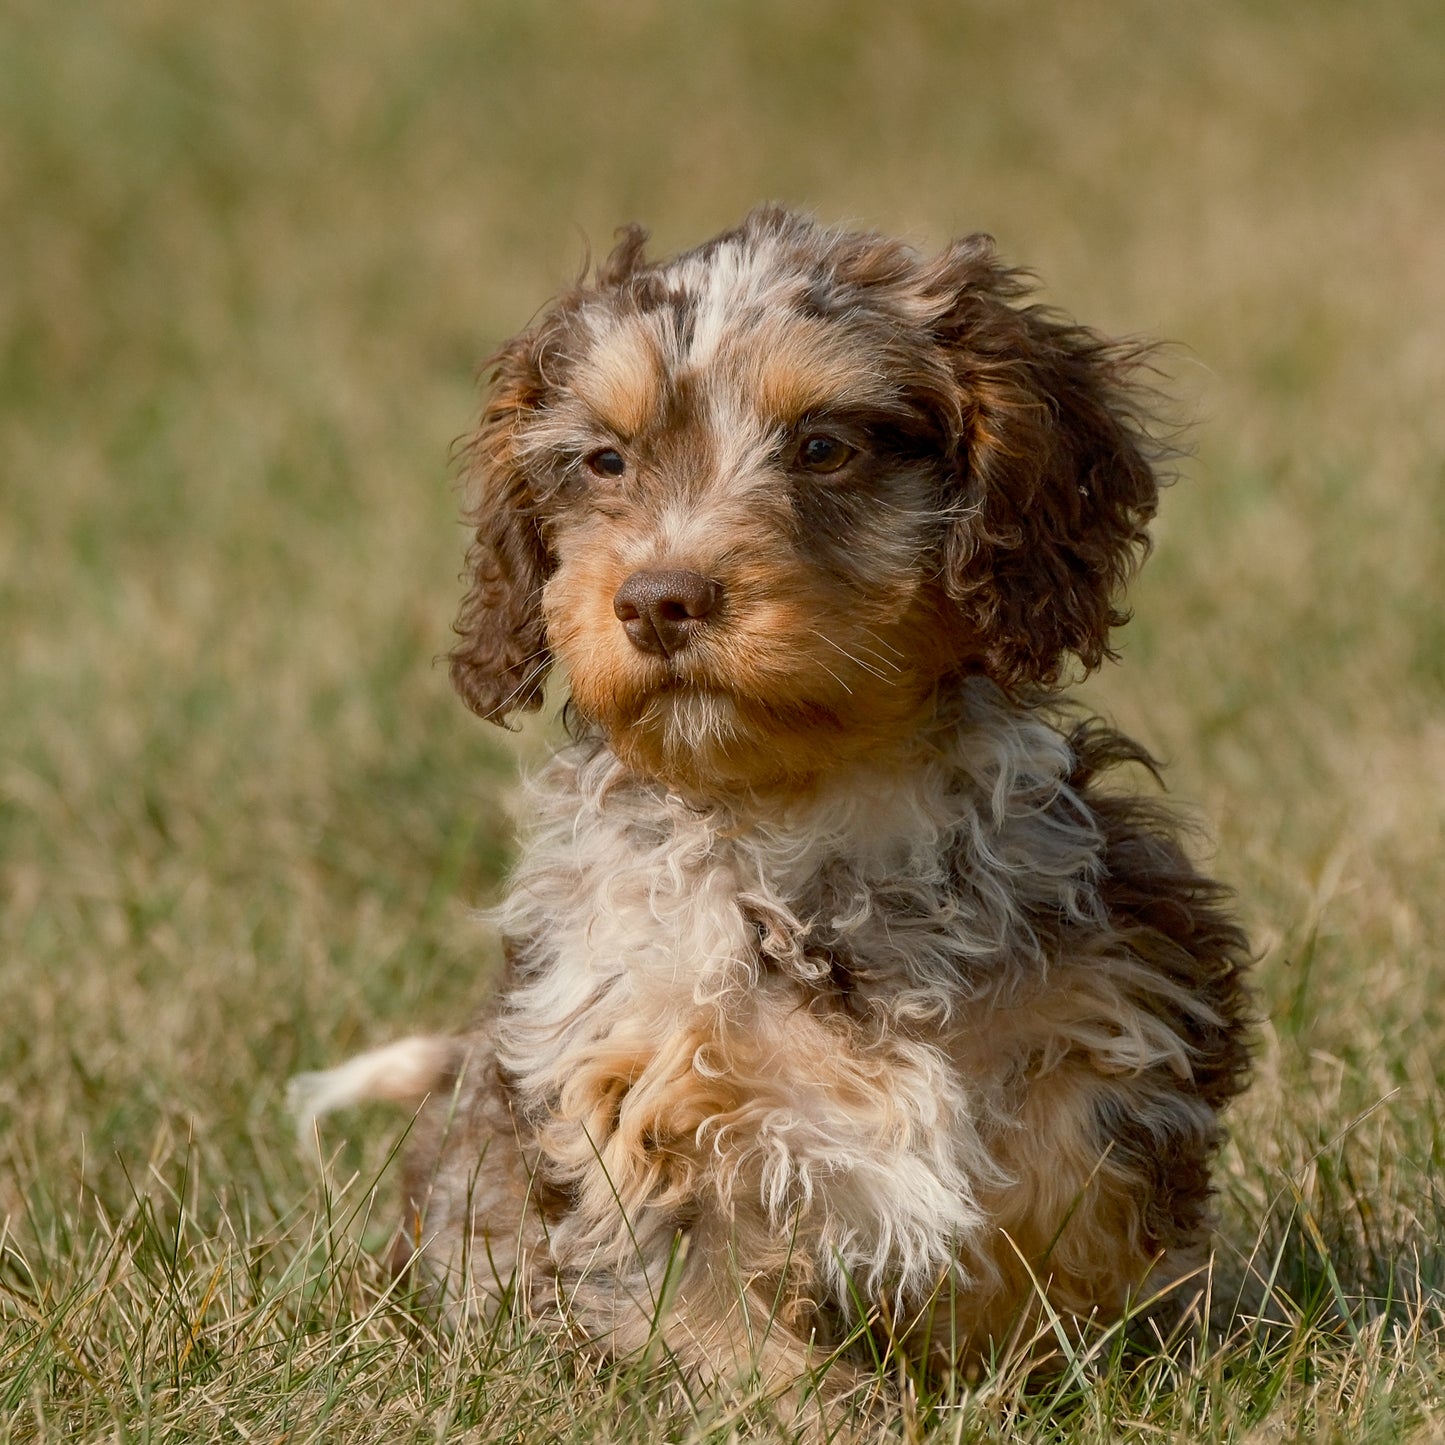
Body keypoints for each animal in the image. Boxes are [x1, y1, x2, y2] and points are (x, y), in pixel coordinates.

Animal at [287, 209, 1248, 1404]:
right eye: (605, 460)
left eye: (823, 447)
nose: (659, 599)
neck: (806, 828)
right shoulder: (634, 1099)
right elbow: (718, 1327)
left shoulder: (1113, 1004)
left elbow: (1062, 1205)